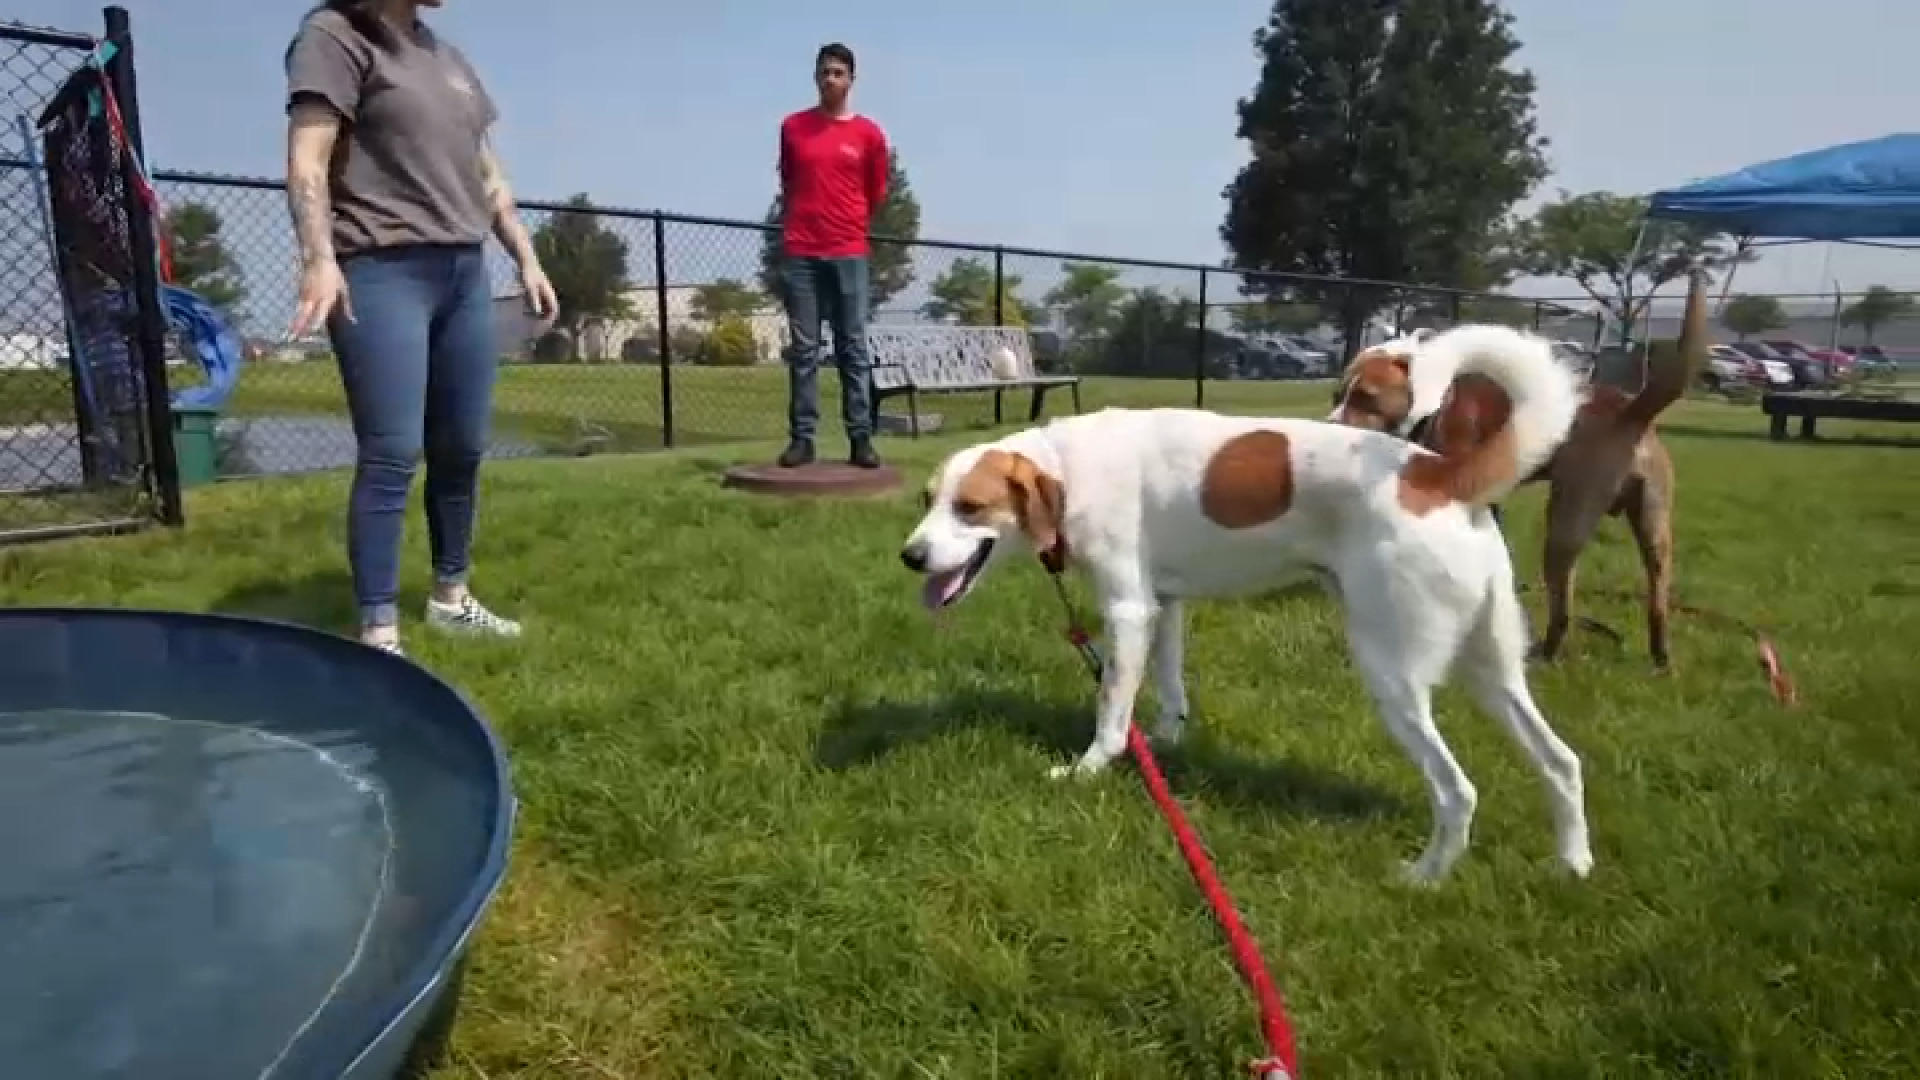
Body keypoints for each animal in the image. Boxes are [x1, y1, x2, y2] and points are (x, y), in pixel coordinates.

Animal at [898, 330, 1589, 883]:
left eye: (970, 507)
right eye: (927, 500)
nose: (910, 556)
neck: (1068, 468)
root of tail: (1443, 476)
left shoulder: (1127, 610)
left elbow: (1112, 708)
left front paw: (1091, 768)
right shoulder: (1164, 605)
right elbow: (1169, 688)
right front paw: (1165, 742)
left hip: (1392, 671)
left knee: (1457, 792)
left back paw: (1424, 877)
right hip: (1492, 669)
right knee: (1562, 761)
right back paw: (1572, 864)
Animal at [1336, 270, 1712, 664]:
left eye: (1366, 398)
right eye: (1337, 394)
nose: (1328, 423)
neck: (1436, 405)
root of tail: (1632, 412)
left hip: (1566, 522)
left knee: (1563, 609)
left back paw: (1543, 654)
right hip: (1654, 526)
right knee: (1657, 597)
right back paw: (1660, 660)